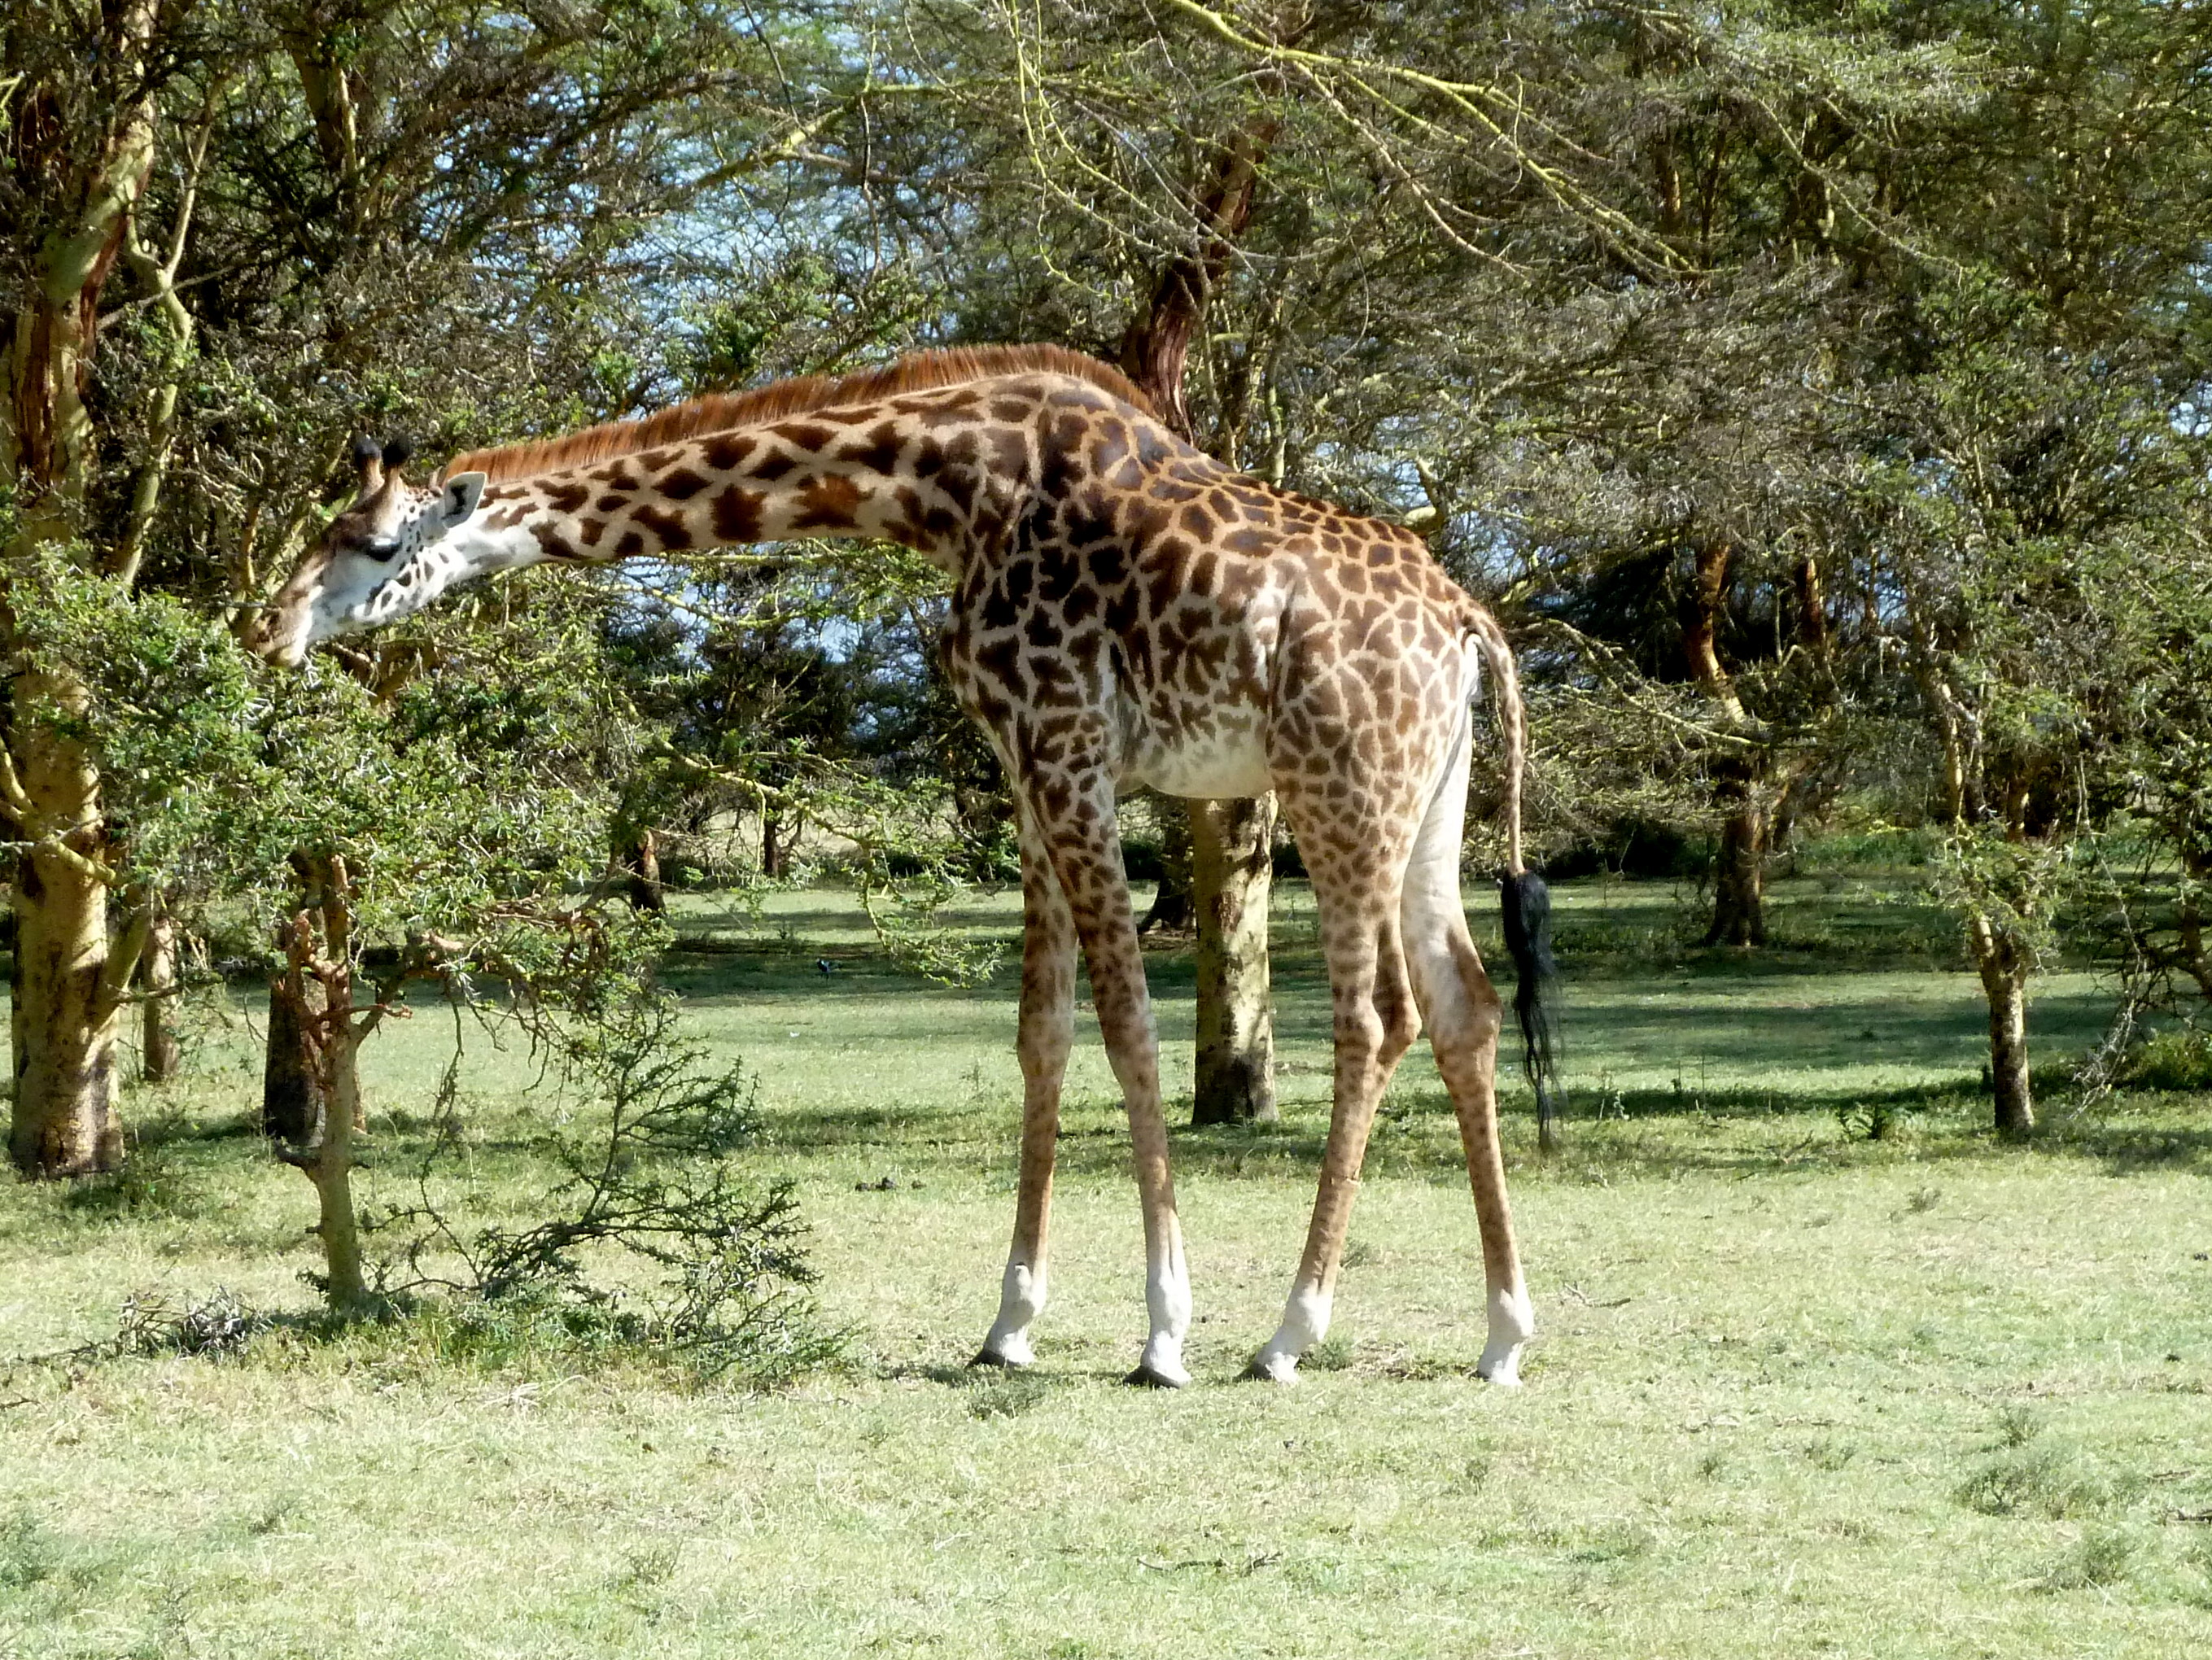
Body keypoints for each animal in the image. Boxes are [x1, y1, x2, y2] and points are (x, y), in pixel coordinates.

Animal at [249, 345, 1563, 1387]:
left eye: (373, 542)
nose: (271, 630)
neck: (948, 487)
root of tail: (1468, 625)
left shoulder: (1069, 746)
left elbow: (1130, 1027)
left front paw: (1163, 1335)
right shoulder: (1025, 769)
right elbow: (1043, 1033)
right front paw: (1010, 1324)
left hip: (1339, 786)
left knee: (1376, 1015)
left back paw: (1288, 1334)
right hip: (1425, 801)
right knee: (1465, 1004)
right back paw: (1503, 1333)